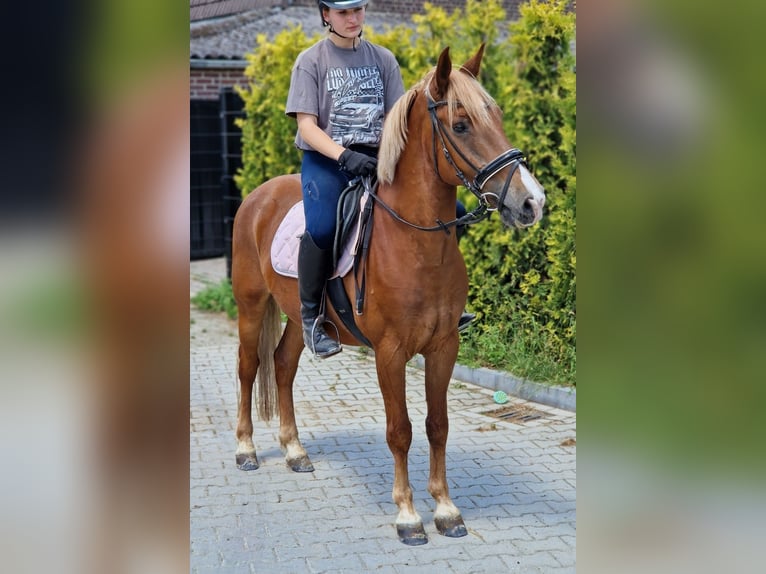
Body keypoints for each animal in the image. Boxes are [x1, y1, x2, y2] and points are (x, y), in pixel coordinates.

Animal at [231, 44, 546, 546]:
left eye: (496, 116)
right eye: (461, 124)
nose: (532, 203)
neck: (413, 243)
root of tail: (257, 196)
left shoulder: (444, 347)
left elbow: (438, 425)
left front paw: (446, 509)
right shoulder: (390, 353)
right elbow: (400, 430)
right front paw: (408, 516)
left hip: (302, 318)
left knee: (282, 365)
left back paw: (295, 451)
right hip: (250, 303)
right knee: (247, 367)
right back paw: (246, 450)